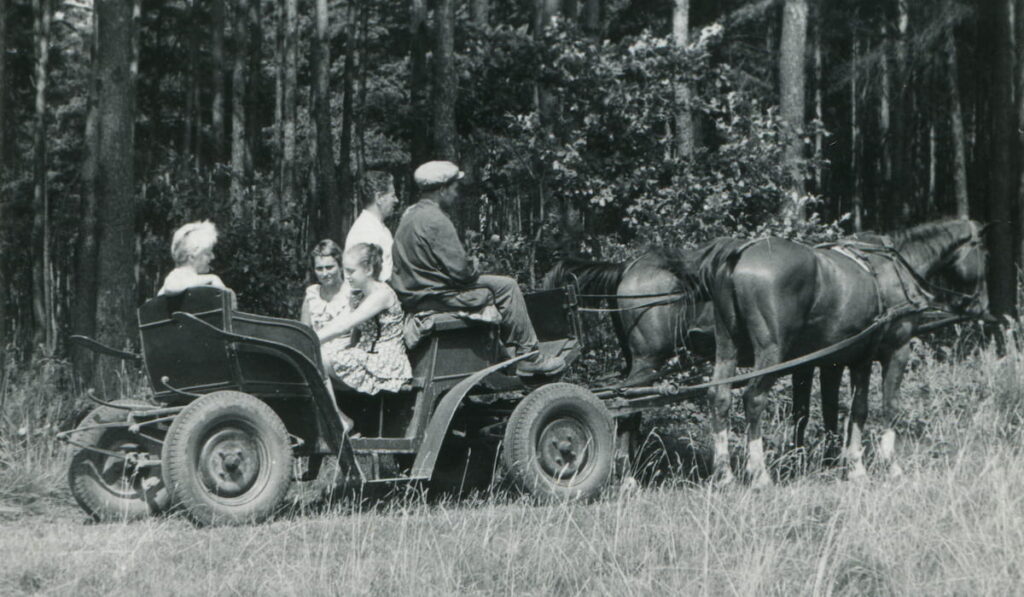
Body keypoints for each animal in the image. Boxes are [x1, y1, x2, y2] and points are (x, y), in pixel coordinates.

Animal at [700, 219, 987, 485]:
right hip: (772, 353)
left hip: (727, 346)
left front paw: (833, 462)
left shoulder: (831, 362)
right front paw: (876, 465)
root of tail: (739, 255)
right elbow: (875, 407)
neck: (894, 269)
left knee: (720, 395)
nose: (980, 304)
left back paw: (724, 473)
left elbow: (827, 410)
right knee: (754, 398)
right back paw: (759, 473)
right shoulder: (891, 351)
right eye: (982, 250)